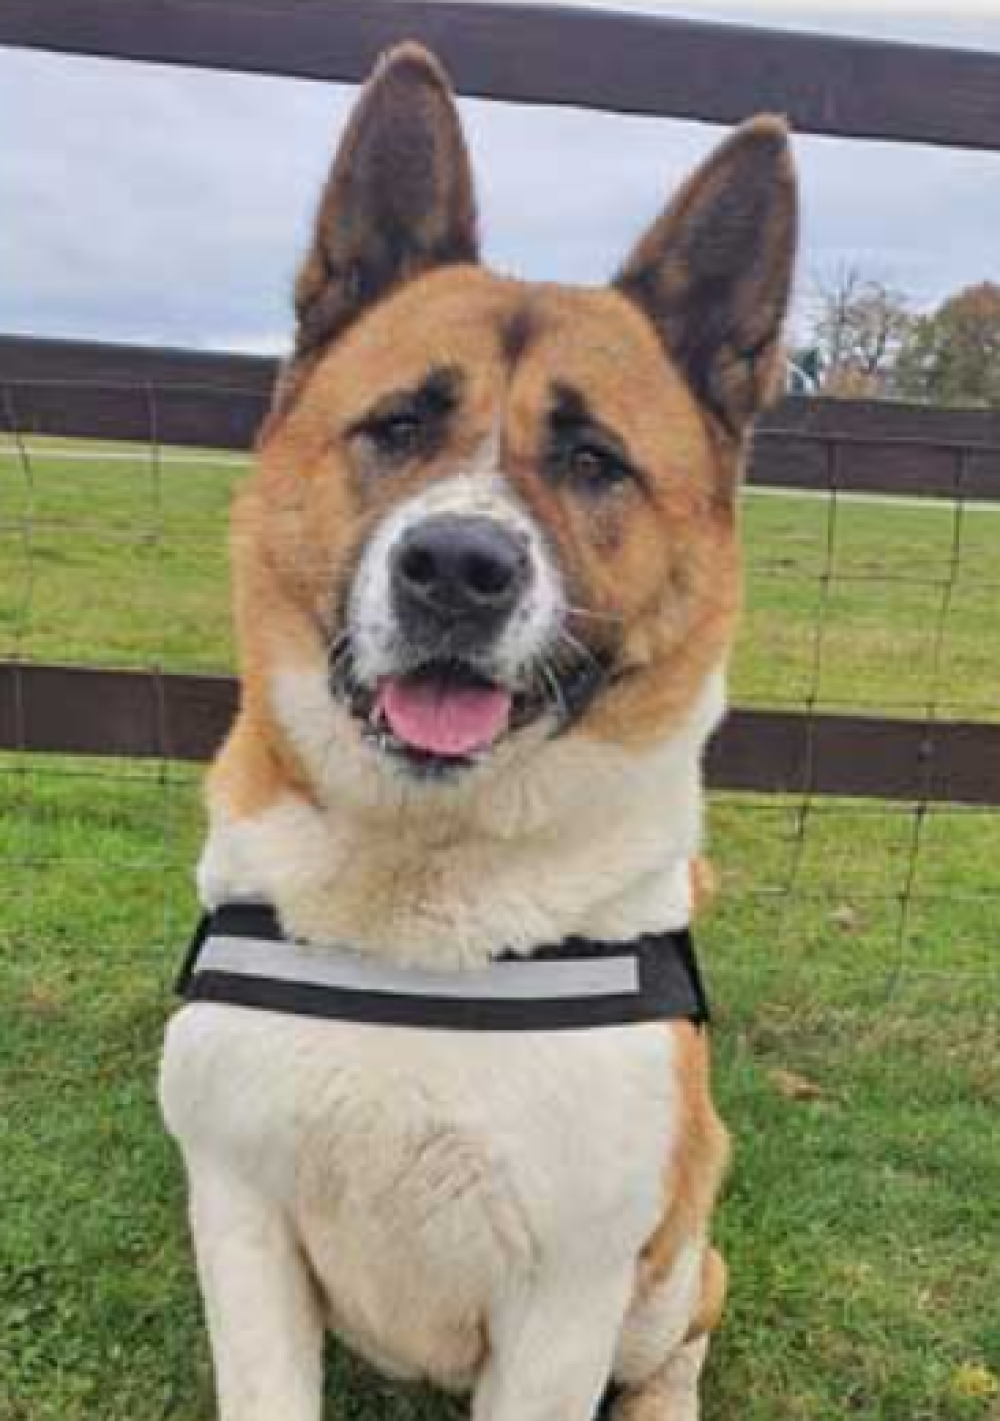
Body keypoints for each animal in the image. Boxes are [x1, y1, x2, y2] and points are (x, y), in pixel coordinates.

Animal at [158, 44, 795, 1421]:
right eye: (398, 424)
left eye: (595, 460)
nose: (457, 567)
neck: (420, 902)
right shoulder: (239, 1225)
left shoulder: (566, 1297)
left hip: (670, 1266)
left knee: (681, 1339)